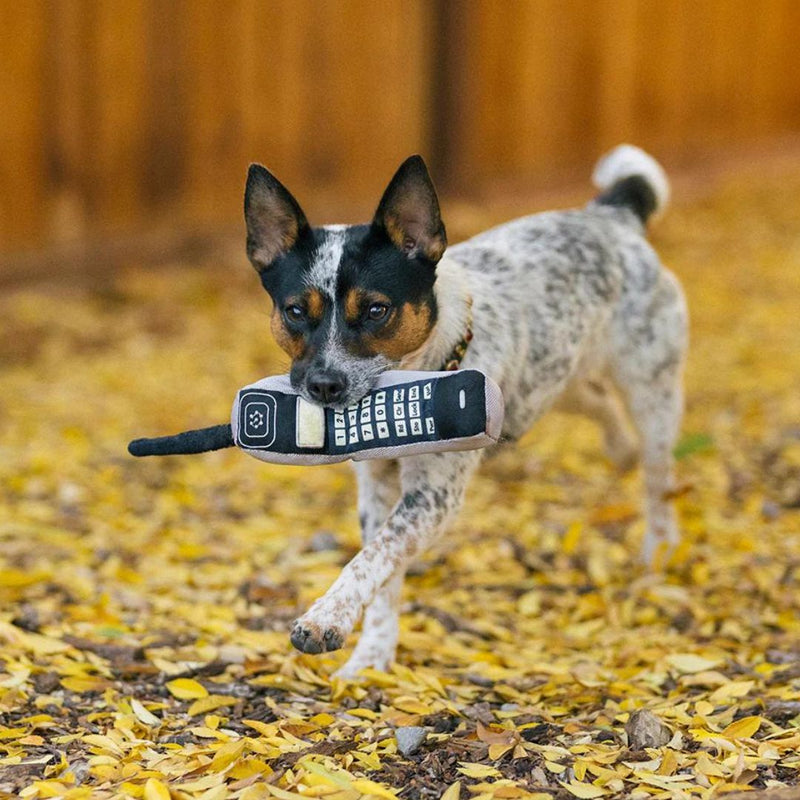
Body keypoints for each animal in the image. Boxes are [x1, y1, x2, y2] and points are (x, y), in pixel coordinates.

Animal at [242, 145, 688, 676]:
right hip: (555, 377)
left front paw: (326, 617)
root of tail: (610, 216)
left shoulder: (433, 497)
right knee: (597, 403)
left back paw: (658, 549)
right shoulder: (377, 487)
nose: (324, 385)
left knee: (659, 481)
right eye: (294, 311)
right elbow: (383, 571)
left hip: (653, 392)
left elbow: (373, 557)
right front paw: (373, 656)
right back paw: (620, 449)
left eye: (376, 310)